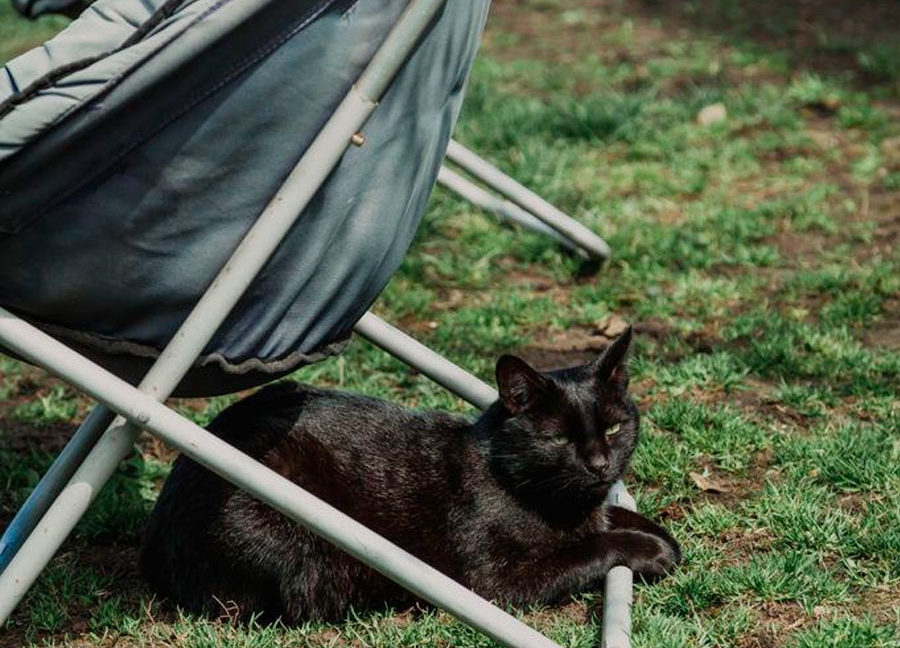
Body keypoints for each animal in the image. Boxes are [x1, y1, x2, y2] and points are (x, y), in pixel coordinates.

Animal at [141, 330, 680, 624]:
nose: (599, 464)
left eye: (614, 428)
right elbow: (589, 548)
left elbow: (616, 517)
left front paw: (660, 537)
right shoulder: (495, 580)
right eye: (559, 439)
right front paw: (649, 551)